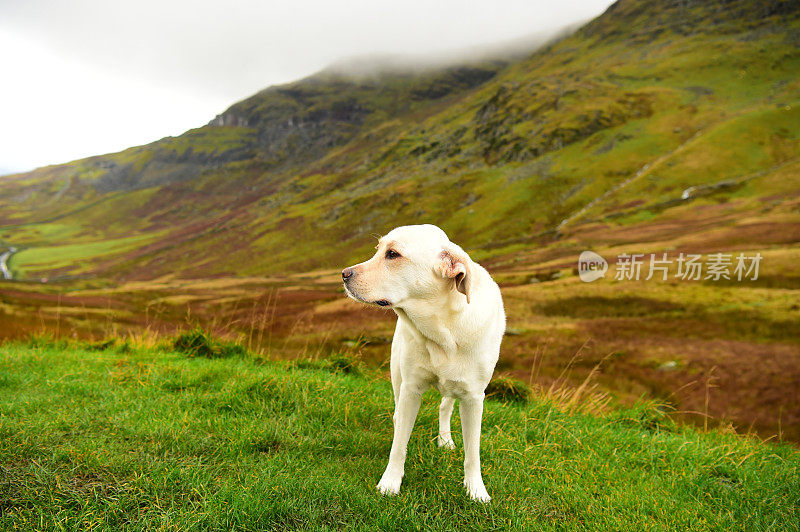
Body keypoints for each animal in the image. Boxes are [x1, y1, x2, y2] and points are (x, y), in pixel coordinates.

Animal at [340, 224, 504, 502]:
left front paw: (476, 491)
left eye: (393, 254)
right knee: (399, 414)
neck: (443, 330)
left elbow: (473, 452)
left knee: (445, 406)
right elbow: (398, 447)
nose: (344, 274)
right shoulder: (411, 388)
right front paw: (390, 483)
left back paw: (445, 440)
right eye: (379, 249)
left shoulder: (474, 398)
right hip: (397, 373)